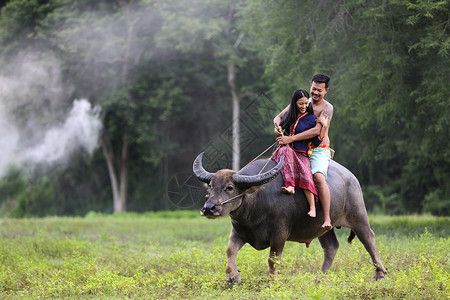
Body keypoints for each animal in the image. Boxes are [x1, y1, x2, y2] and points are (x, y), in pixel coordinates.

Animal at [192, 152, 386, 284]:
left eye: (230, 187)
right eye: (211, 186)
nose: (209, 208)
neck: (254, 208)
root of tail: (351, 177)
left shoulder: (280, 233)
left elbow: (273, 259)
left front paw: (272, 282)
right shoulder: (239, 232)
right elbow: (229, 251)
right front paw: (233, 277)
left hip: (358, 214)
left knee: (369, 238)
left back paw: (380, 274)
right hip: (324, 226)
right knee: (331, 247)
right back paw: (319, 278)